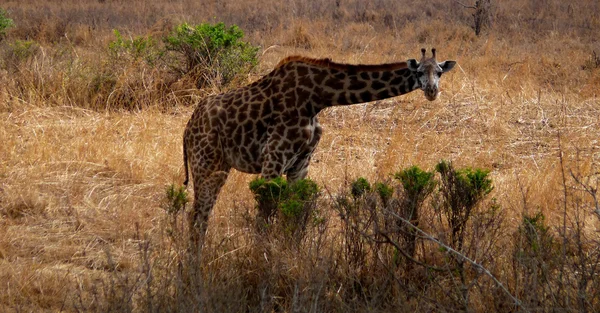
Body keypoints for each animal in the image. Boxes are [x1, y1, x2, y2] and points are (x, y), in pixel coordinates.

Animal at [182, 47, 454, 250]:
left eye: (440, 72)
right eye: (419, 71)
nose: (432, 91)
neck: (317, 98)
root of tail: (187, 130)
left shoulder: (300, 163)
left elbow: (292, 216)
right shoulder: (274, 158)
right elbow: (264, 216)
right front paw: (261, 261)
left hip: (219, 166)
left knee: (200, 217)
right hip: (206, 164)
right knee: (197, 216)